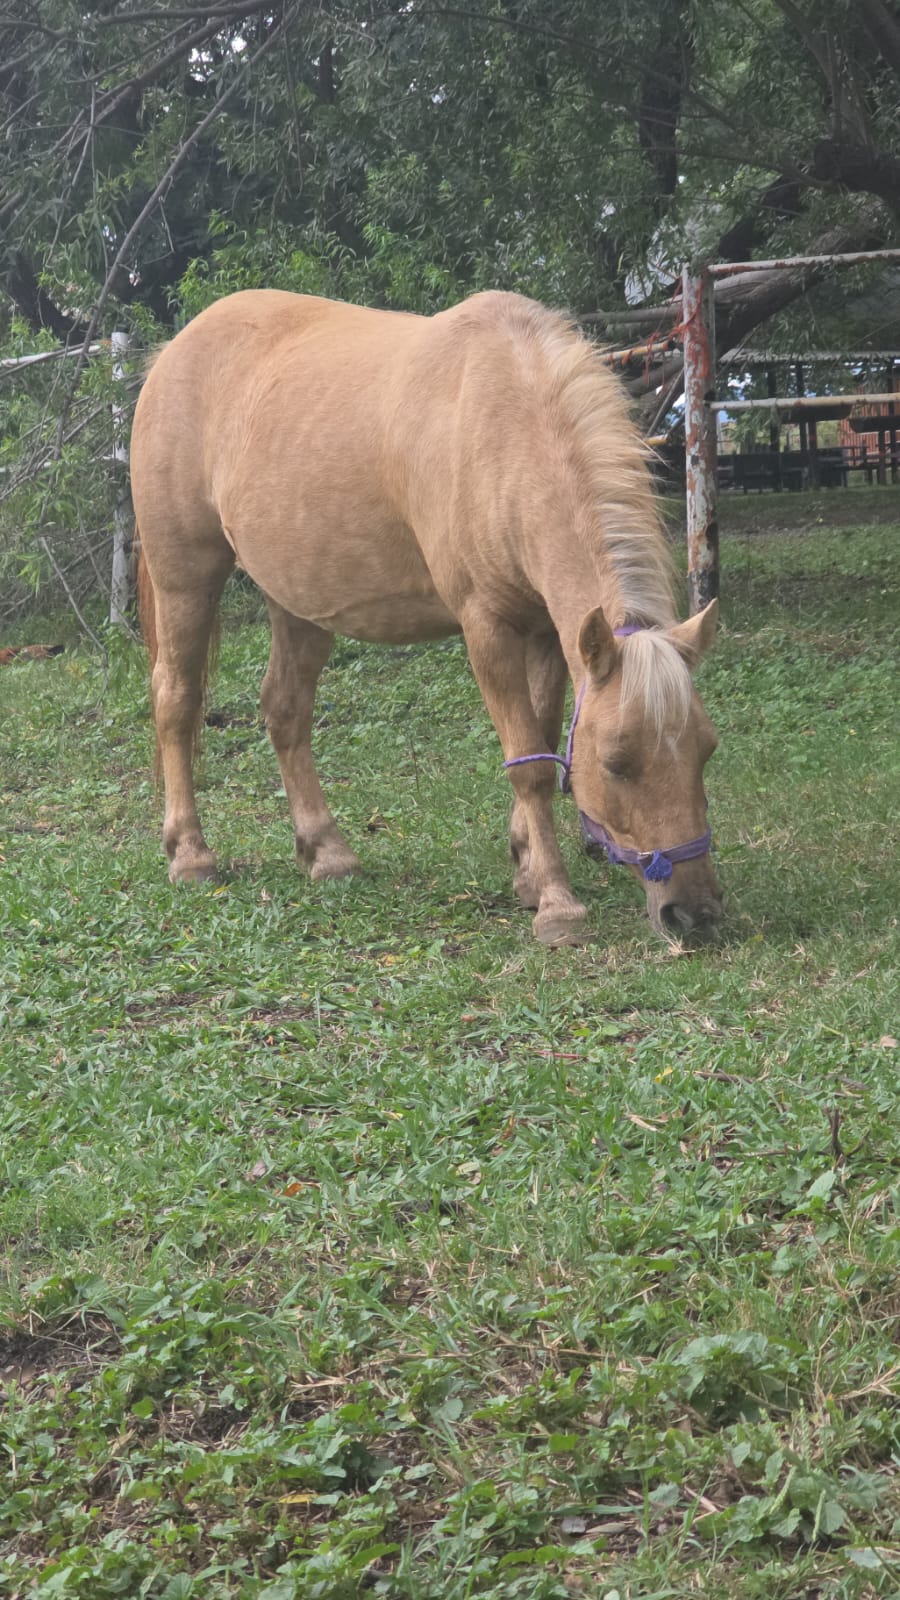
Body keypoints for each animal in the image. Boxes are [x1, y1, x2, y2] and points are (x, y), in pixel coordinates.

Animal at [132, 289, 722, 944]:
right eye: (617, 764)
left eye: (706, 750)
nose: (694, 913)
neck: (507, 420)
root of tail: (171, 353)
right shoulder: (487, 628)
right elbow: (529, 767)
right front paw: (557, 904)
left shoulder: (549, 631)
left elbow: (541, 743)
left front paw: (526, 870)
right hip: (186, 578)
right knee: (177, 701)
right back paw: (190, 855)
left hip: (297, 600)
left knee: (285, 711)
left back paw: (326, 851)